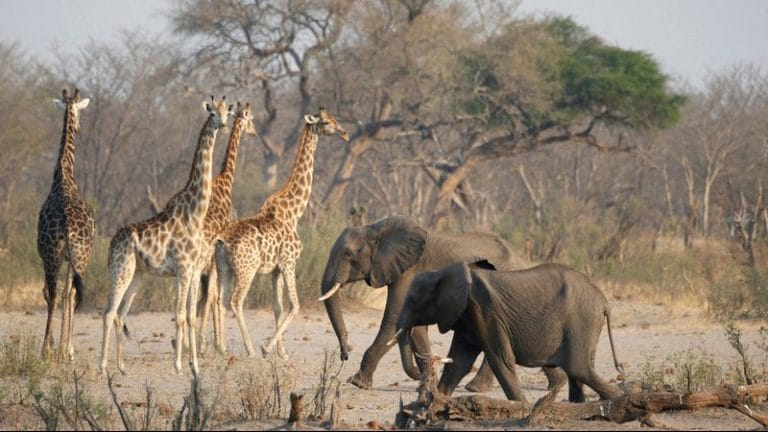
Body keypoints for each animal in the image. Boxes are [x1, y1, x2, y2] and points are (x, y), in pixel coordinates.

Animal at [318, 215, 540, 390]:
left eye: (348, 254)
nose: (345, 354)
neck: (375, 229)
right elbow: (414, 327)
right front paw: (424, 381)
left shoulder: (409, 269)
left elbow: (394, 319)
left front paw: (357, 383)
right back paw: (475, 387)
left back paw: (474, 388)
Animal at [394, 260, 624, 404]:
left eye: (413, 300)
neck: (443, 272)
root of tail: (603, 300)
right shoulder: (467, 317)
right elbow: (459, 362)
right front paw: (436, 403)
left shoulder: (485, 311)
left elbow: (500, 359)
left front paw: (522, 406)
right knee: (581, 370)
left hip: (581, 320)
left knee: (578, 368)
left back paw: (618, 397)